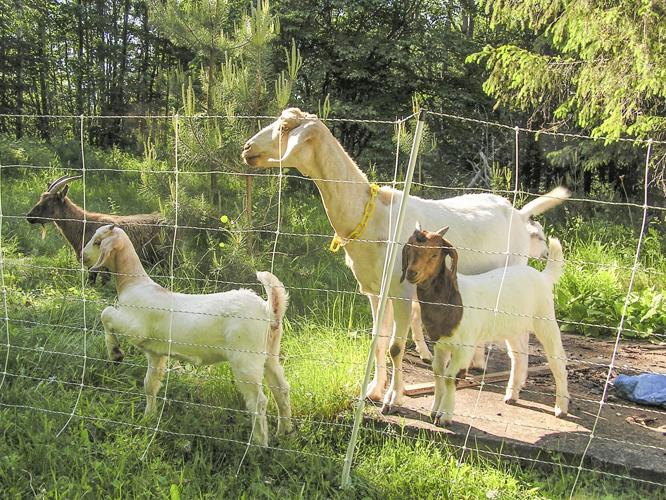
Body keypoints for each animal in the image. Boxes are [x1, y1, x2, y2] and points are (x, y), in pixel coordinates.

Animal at [81, 224, 292, 446]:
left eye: (97, 242)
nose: (82, 257)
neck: (134, 285)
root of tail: (269, 310)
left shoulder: (135, 328)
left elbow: (106, 313)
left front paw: (115, 353)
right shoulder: (156, 353)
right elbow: (150, 385)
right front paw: (149, 417)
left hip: (246, 359)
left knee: (259, 401)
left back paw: (259, 444)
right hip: (269, 354)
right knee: (281, 389)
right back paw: (285, 432)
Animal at [401, 225, 569, 425]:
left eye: (435, 255)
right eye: (410, 250)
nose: (412, 273)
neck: (451, 299)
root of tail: (543, 276)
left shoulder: (465, 347)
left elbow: (450, 377)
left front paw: (445, 416)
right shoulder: (440, 344)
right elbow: (438, 372)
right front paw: (434, 411)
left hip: (545, 319)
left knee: (557, 360)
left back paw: (561, 408)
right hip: (513, 328)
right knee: (519, 356)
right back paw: (512, 395)